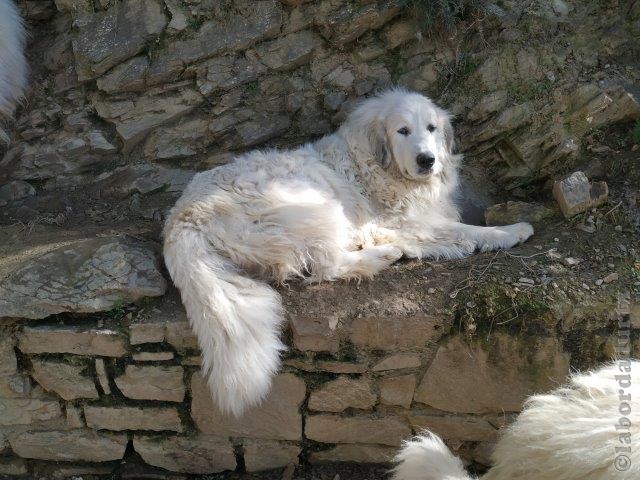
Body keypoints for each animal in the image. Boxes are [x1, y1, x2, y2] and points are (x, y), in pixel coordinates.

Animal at [164, 89, 536, 416]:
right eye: (402, 130)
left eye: (431, 128)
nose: (427, 160)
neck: (375, 164)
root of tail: (183, 218)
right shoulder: (397, 221)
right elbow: (461, 229)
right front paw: (508, 231)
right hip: (315, 205)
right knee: (327, 267)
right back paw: (385, 254)